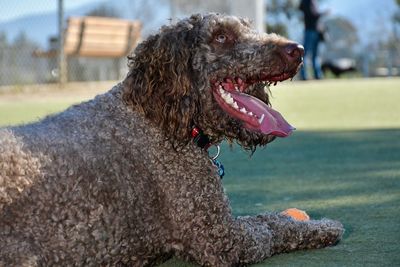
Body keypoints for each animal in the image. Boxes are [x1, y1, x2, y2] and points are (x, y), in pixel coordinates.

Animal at [0, 13, 344, 267]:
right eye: (221, 37)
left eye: (248, 28)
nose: (297, 49)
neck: (155, 115)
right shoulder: (221, 237)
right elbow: (272, 225)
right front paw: (321, 227)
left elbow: (268, 220)